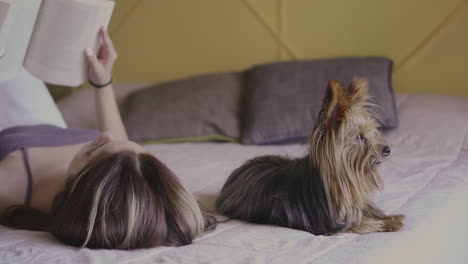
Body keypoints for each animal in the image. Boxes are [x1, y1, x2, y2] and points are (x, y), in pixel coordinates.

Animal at [216, 79, 402, 235]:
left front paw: (388, 218)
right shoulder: (327, 225)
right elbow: (358, 224)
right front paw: (384, 223)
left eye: (373, 132)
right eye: (359, 137)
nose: (387, 149)